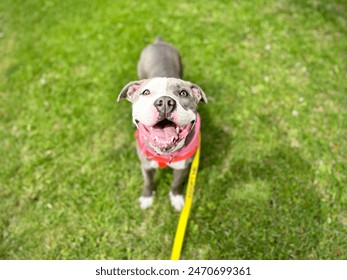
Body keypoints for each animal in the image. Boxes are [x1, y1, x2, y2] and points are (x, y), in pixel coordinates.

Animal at [118, 36, 208, 210]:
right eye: (146, 92)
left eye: (184, 93)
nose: (165, 102)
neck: (165, 155)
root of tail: (159, 41)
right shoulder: (146, 165)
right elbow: (148, 182)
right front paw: (147, 197)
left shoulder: (183, 167)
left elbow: (176, 184)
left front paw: (176, 198)